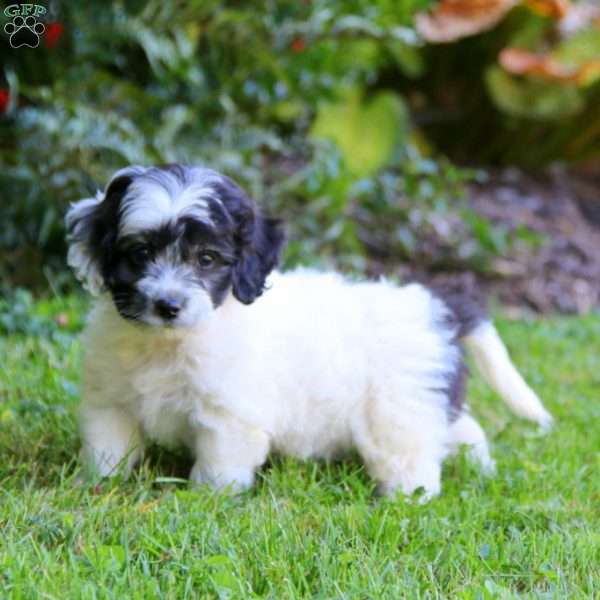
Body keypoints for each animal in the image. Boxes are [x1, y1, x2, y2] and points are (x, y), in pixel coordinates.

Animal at [65, 165, 552, 502]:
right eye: (140, 254)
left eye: (206, 259)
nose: (168, 306)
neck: (169, 344)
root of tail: (438, 307)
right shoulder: (111, 401)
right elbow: (109, 447)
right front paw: (96, 485)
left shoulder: (229, 417)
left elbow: (219, 468)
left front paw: (206, 502)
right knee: (464, 425)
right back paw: (481, 468)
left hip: (399, 415)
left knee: (413, 457)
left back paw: (408, 499)